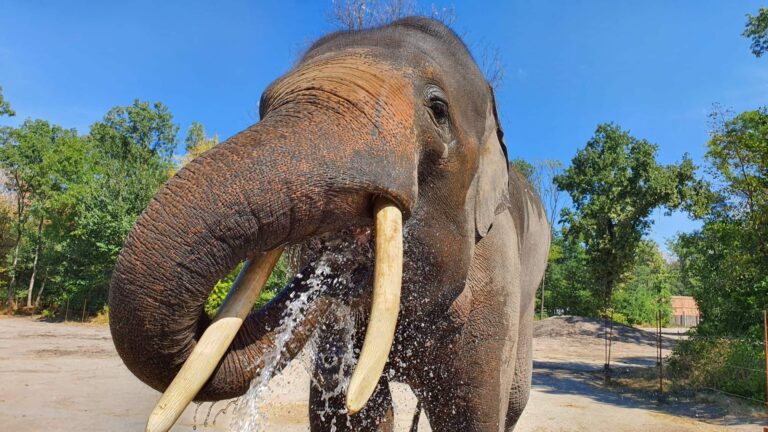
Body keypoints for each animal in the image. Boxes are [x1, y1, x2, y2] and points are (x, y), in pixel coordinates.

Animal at [109, 16, 550, 432]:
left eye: (438, 109)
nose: (335, 262)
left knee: (514, 402)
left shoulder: (495, 280)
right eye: (262, 108)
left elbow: (470, 414)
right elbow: (352, 414)